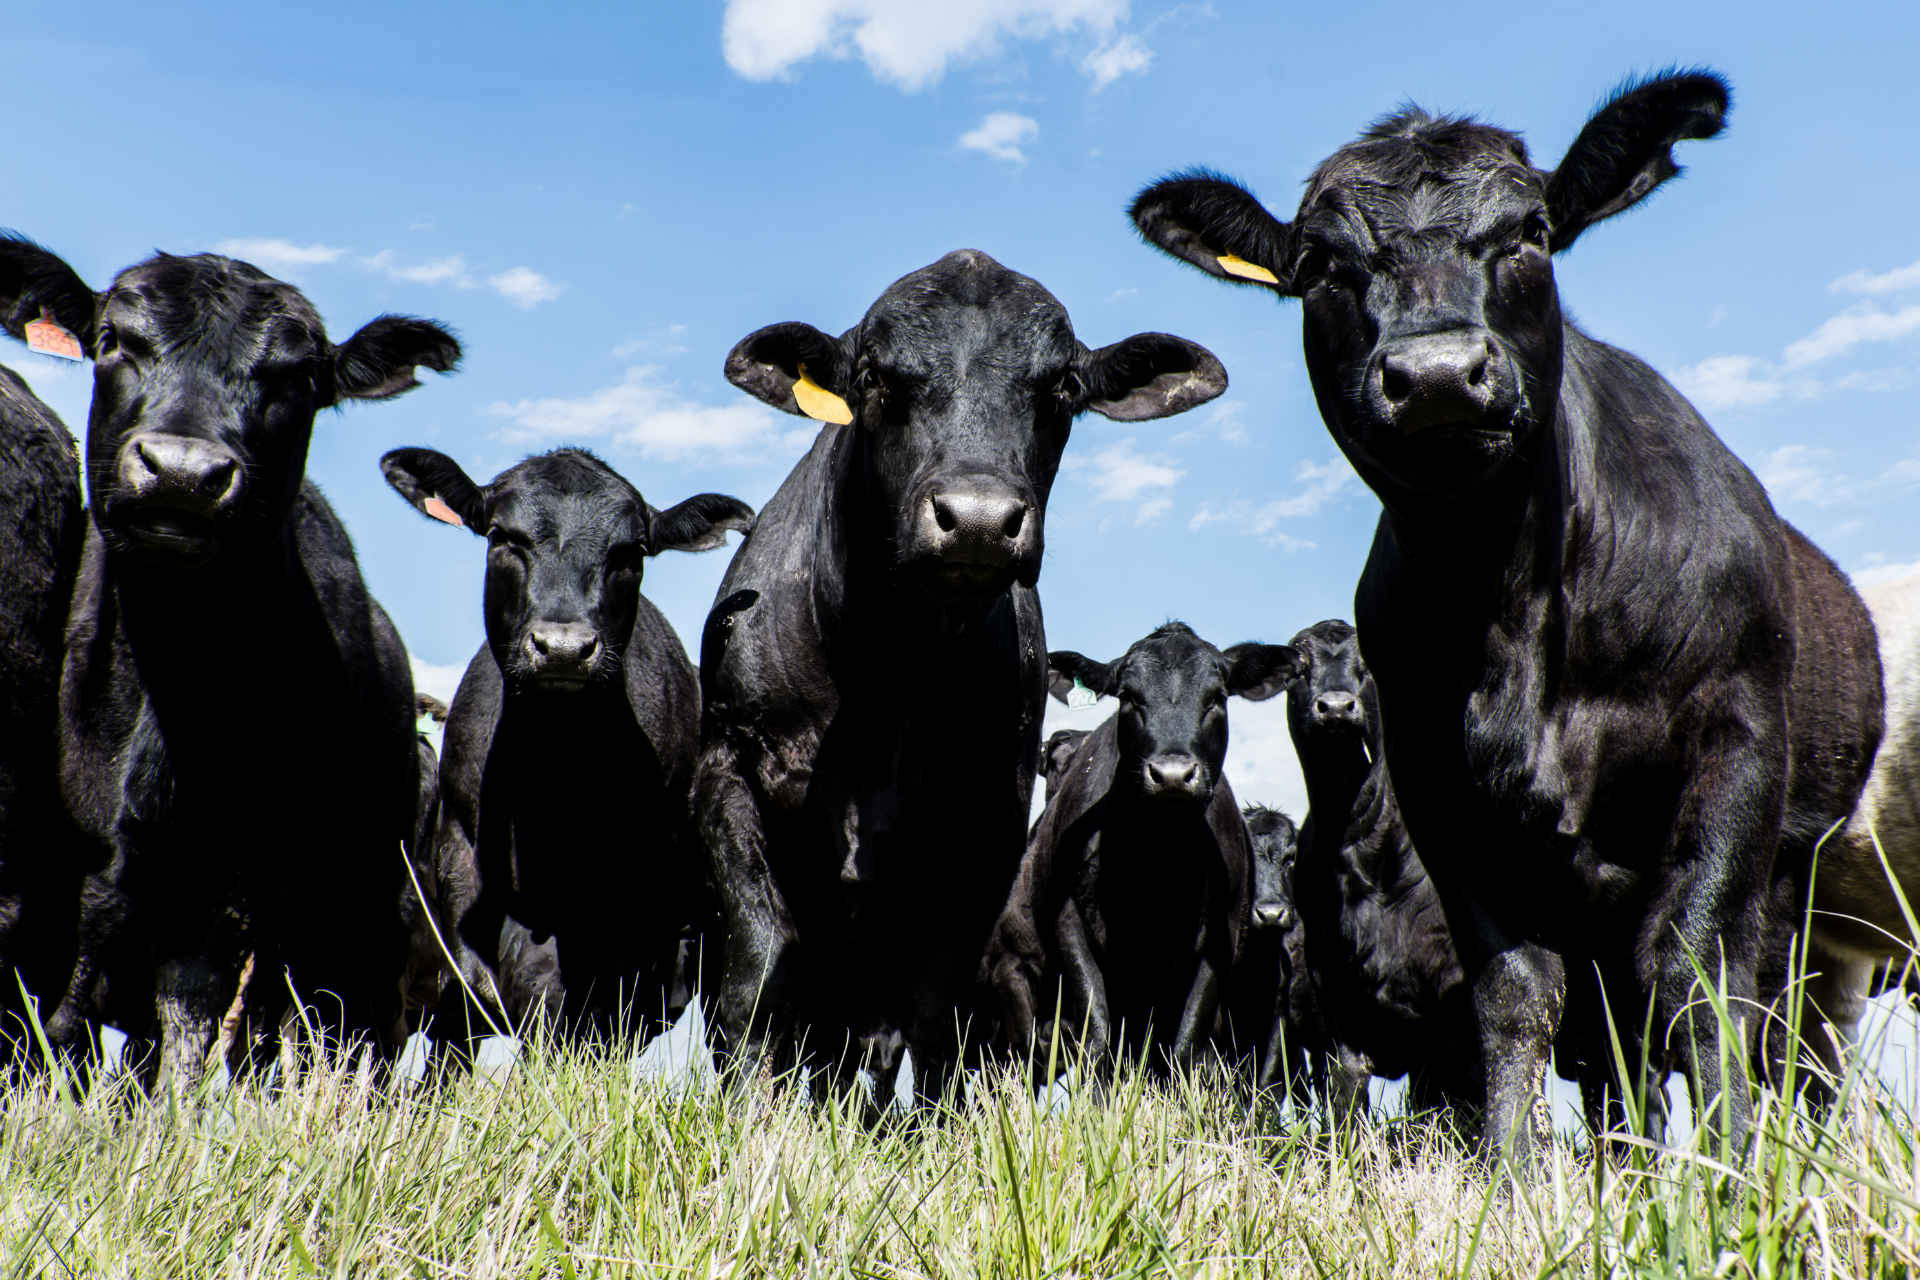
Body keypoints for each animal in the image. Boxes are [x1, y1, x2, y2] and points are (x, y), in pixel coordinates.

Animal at [0, 241, 461, 1093]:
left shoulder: (255, 857)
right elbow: (83, 989)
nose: (183, 472)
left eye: (299, 378)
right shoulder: (92, 850)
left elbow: (196, 1004)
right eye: (113, 339)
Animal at [381, 447, 751, 1058]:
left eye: (631, 551)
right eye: (502, 537)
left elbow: (582, 1011)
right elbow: (475, 995)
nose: (562, 649)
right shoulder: (459, 858)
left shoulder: (633, 891)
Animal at [698, 250, 1228, 1107]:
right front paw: (748, 1113)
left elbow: (931, 1006)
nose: (978, 519)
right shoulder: (729, 773)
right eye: (873, 377)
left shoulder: (986, 824)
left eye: (1063, 387)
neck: (893, 677)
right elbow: (760, 971)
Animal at [987, 624, 1298, 1080]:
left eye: (1217, 698)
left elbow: (1184, 1046)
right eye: (1128, 697)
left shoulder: (1219, 940)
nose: (1172, 775)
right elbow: (1097, 1034)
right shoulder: (1069, 924)